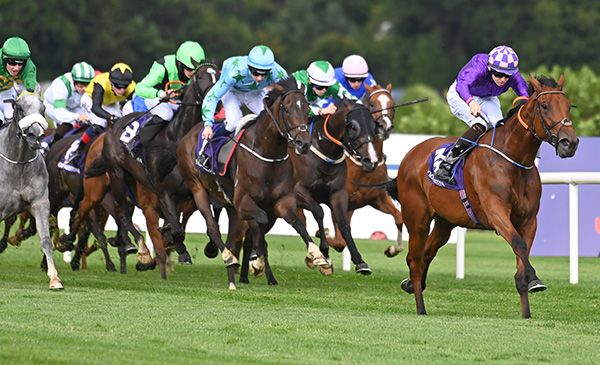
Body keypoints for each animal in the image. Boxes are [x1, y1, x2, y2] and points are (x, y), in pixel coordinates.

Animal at [0, 87, 62, 288]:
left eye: (43, 108)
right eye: (19, 108)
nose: (36, 135)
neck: (18, 162)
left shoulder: (40, 203)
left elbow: (46, 240)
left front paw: (54, 279)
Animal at [290, 98, 380, 274]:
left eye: (374, 126)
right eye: (352, 126)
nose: (370, 160)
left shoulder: (338, 194)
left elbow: (343, 224)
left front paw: (360, 261)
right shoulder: (298, 191)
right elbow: (318, 211)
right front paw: (324, 251)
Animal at [326, 84, 406, 258]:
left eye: (392, 105)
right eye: (372, 104)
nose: (385, 126)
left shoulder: (377, 199)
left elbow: (399, 217)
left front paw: (393, 249)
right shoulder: (339, 202)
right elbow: (339, 241)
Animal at [386, 75, 580, 318]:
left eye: (569, 106)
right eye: (544, 106)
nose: (569, 143)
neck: (513, 159)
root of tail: (411, 155)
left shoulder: (529, 219)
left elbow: (522, 256)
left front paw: (527, 305)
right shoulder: (496, 212)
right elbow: (518, 244)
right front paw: (535, 278)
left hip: (444, 222)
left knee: (427, 253)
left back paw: (412, 285)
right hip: (417, 218)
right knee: (414, 259)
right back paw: (420, 307)